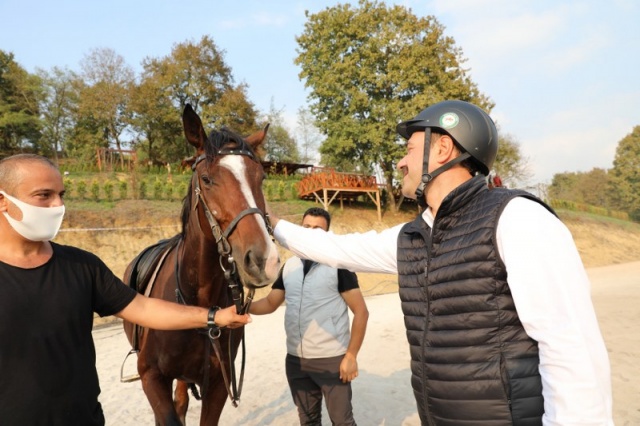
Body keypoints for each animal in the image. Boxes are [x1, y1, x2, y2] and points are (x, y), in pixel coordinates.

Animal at [122, 104, 280, 425]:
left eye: (260, 178)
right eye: (206, 179)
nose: (263, 260)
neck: (198, 303)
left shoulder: (219, 384)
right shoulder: (151, 377)